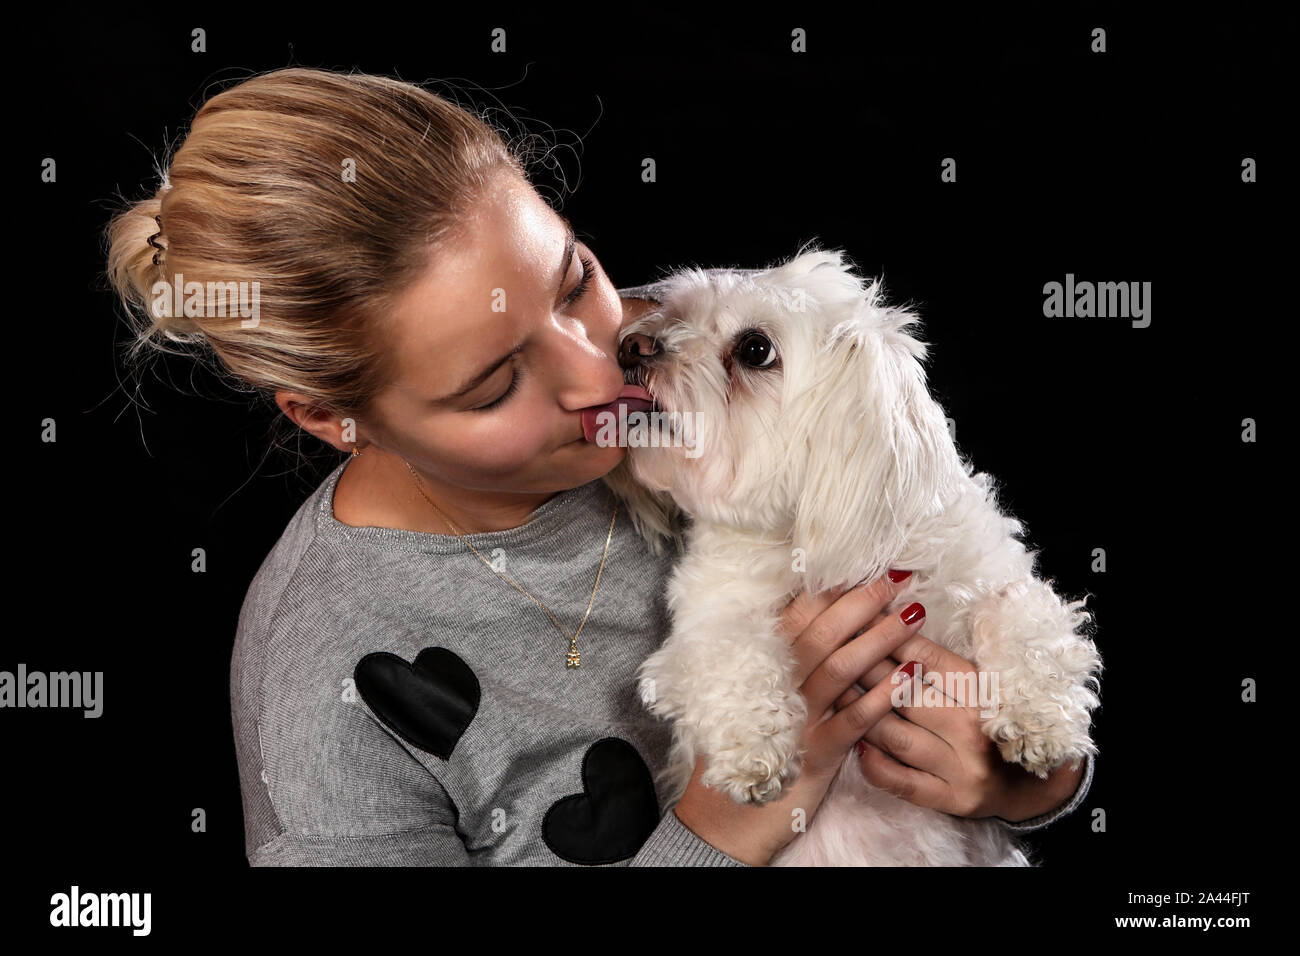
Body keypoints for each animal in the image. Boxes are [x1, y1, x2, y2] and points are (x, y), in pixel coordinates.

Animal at [603, 247, 1102, 868]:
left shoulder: (988, 574)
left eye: (755, 349)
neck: (801, 540)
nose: (632, 345)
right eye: (671, 316)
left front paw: (1041, 722)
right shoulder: (704, 625)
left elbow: (1024, 617)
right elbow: (728, 655)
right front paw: (754, 746)